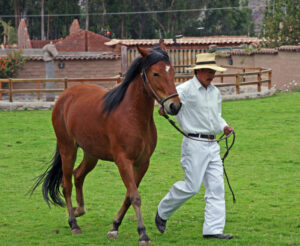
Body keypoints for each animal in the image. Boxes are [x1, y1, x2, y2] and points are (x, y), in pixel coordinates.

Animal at [31, 43, 180, 245]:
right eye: (156, 73)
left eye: (172, 71)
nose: (175, 106)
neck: (133, 116)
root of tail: (65, 96)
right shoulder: (123, 161)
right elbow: (134, 196)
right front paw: (142, 234)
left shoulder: (142, 163)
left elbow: (128, 196)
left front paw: (115, 226)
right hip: (67, 148)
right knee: (66, 183)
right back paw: (73, 223)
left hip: (91, 154)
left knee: (78, 175)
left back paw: (79, 210)